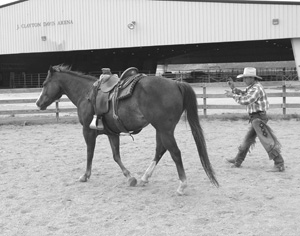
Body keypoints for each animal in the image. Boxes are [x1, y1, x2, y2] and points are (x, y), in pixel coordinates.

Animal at [36, 65, 218, 195]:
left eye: (44, 84)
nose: (38, 103)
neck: (86, 94)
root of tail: (176, 83)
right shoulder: (112, 133)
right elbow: (116, 156)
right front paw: (130, 177)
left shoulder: (88, 131)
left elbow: (90, 153)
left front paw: (85, 175)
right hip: (161, 130)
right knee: (160, 150)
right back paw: (144, 178)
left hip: (164, 130)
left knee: (175, 153)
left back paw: (182, 185)